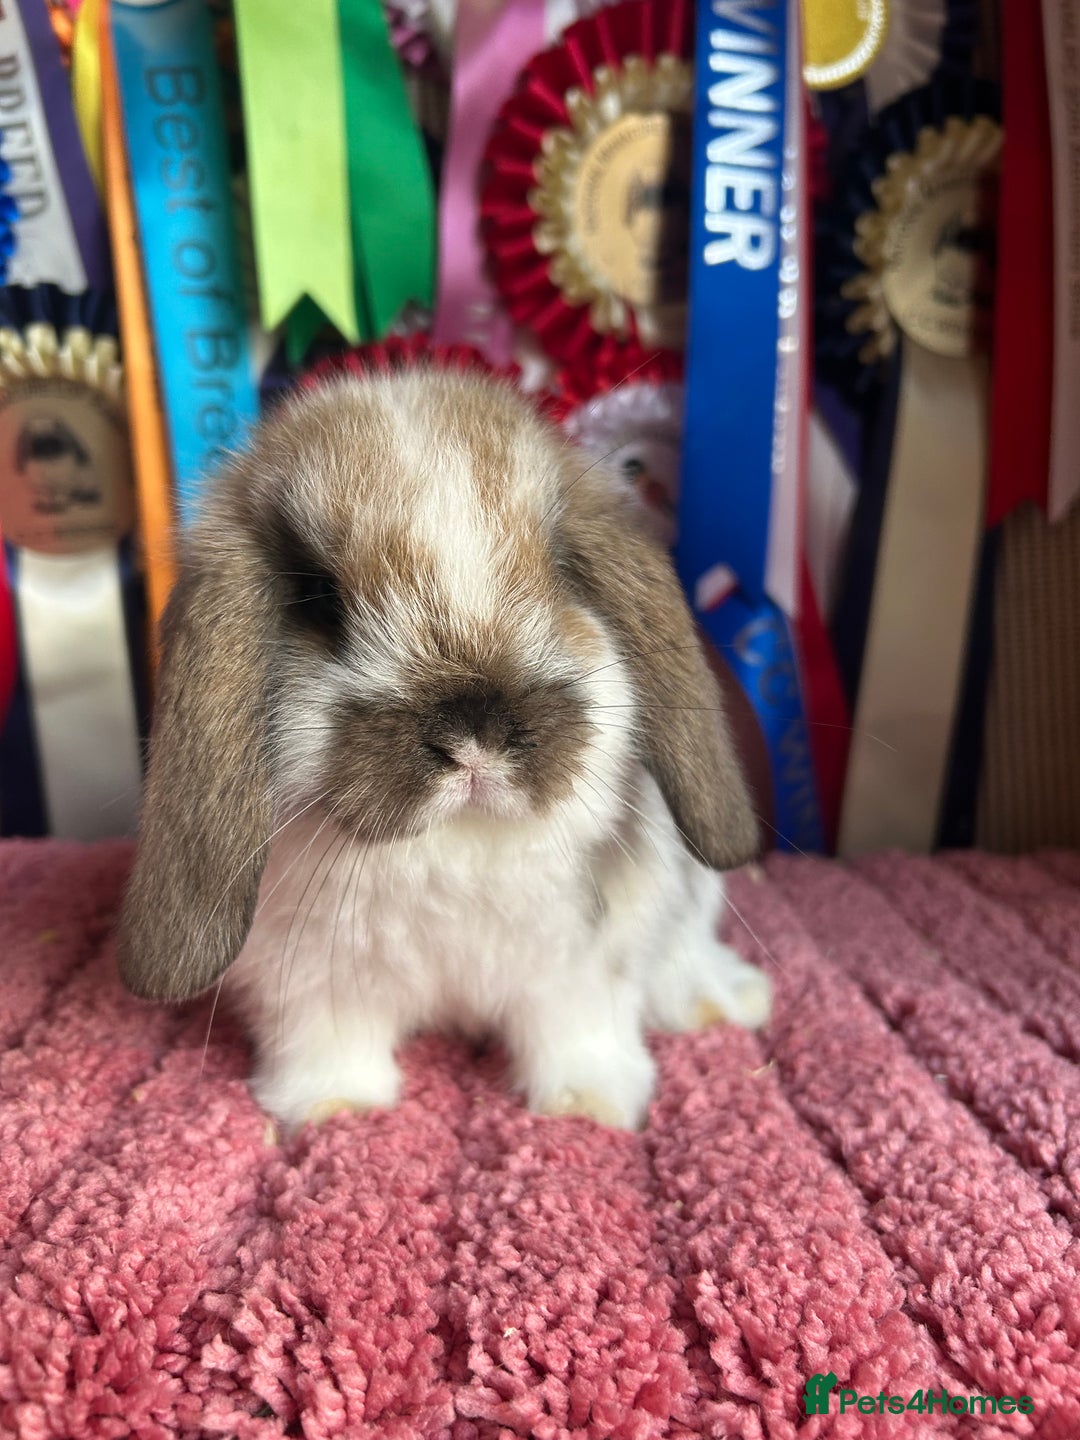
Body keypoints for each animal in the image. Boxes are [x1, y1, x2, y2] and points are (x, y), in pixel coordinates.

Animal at [117, 367, 771, 1131]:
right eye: (316, 597)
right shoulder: (307, 979)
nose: (474, 731)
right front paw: (335, 1108)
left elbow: (578, 1029)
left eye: (563, 568)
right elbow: (328, 1041)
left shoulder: (580, 967)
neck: (455, 843)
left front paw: (588, 1107)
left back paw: (723, 999)